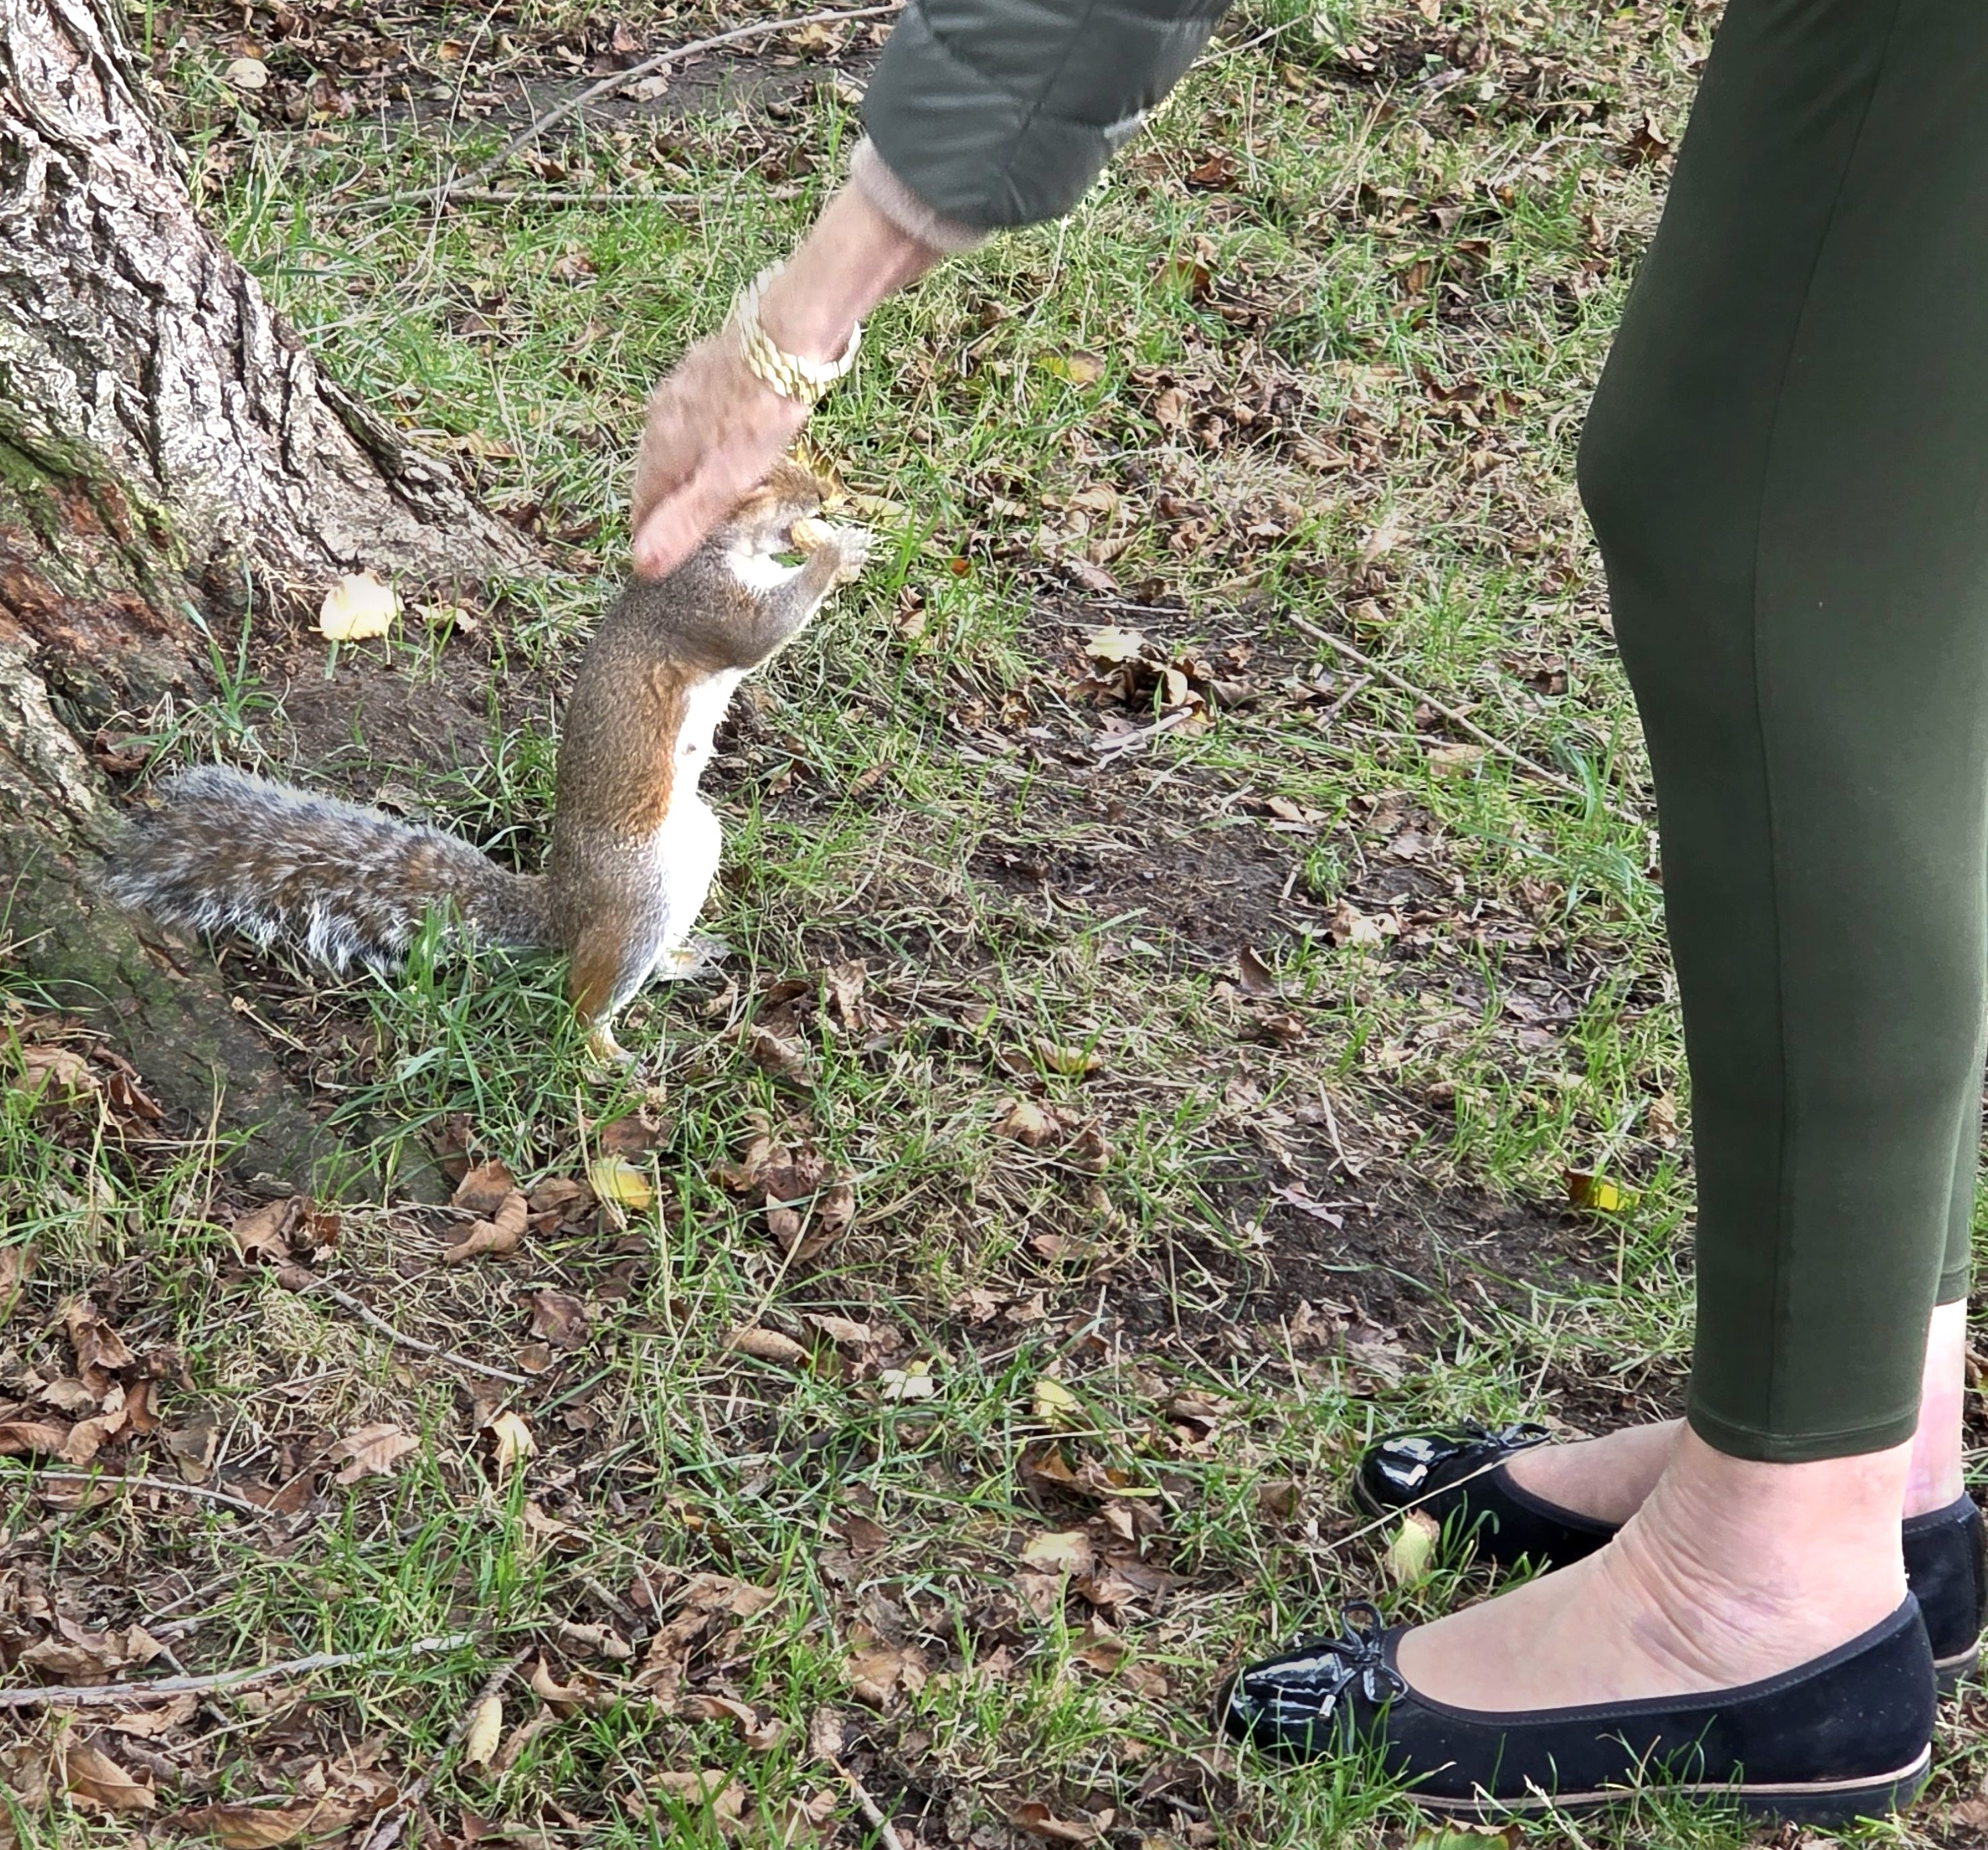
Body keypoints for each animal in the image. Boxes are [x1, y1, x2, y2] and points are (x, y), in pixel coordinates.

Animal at [105, 459, 868, 1062]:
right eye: (756, 482)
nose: (824, 490)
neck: (722, 547)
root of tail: (562, 908)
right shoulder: (700, 602)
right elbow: (757, 632)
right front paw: (837, 551)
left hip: (694, 850)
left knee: (644, 960)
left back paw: (684, 957)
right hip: (637, 892)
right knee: (584, 995)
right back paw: (602, 1051)